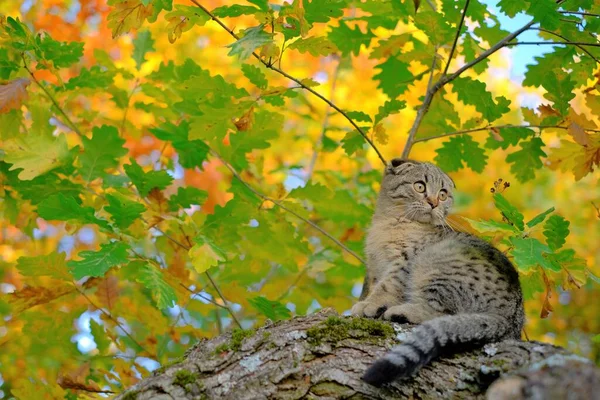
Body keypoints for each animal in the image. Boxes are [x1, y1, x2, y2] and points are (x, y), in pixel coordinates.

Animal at [352, 158, 524, 386]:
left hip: (434, 263)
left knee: (441, 313)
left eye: (442, 194)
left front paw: (369, 304)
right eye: (419, 186)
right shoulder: (377, 267)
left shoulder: (404, 261)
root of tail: (511, 319)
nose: (433, 203)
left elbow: (386, 287)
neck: (390, 222)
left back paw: (402, 312)